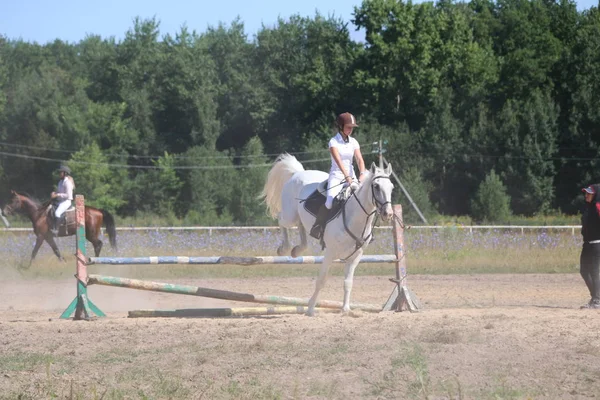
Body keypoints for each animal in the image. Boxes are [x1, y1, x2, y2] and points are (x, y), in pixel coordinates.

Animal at [262, 153, 394, 316]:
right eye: (376, 186)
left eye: (392, 187)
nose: (388, 213)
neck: (354, 217)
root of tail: (298, 173)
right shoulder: (330, 253)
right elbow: (321, 281)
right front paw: (310, 309)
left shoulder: (355, 257)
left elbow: (348, 283)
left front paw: (346, 309)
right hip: (289, 216)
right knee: (280, 219)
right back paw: (284, 248)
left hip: (298, 218)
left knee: (300, 227)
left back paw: (297, 250)